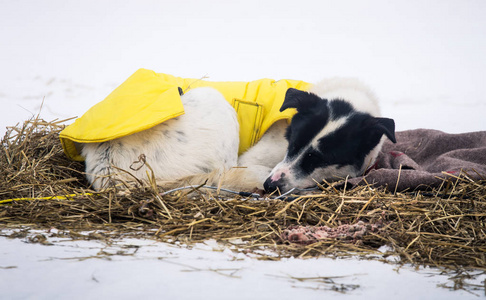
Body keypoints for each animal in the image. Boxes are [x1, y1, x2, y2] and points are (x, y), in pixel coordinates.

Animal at [81, 78, 396, 193]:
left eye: (320, 158)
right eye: (291, 143)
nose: (270, 185)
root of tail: (110, 169)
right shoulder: (256, 159)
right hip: (214, 101)